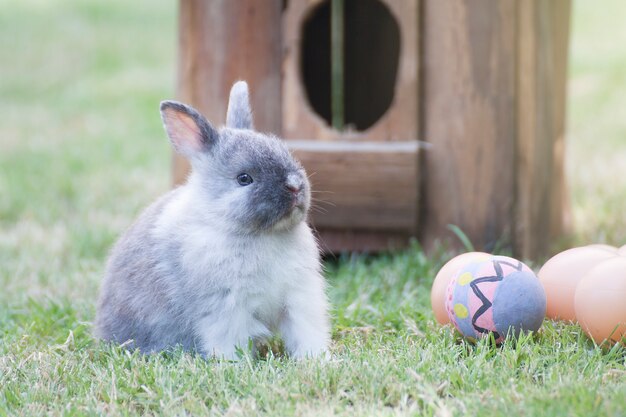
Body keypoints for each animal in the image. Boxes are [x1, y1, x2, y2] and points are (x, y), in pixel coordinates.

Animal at [95, 80, 330, 358]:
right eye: (244, 178)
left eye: (287, 153)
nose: (294, 186)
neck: (258, 233)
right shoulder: (226, 306)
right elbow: (230, 340)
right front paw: (236, 364)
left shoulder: (299, 298)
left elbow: (306, 332)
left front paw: (317, 360)